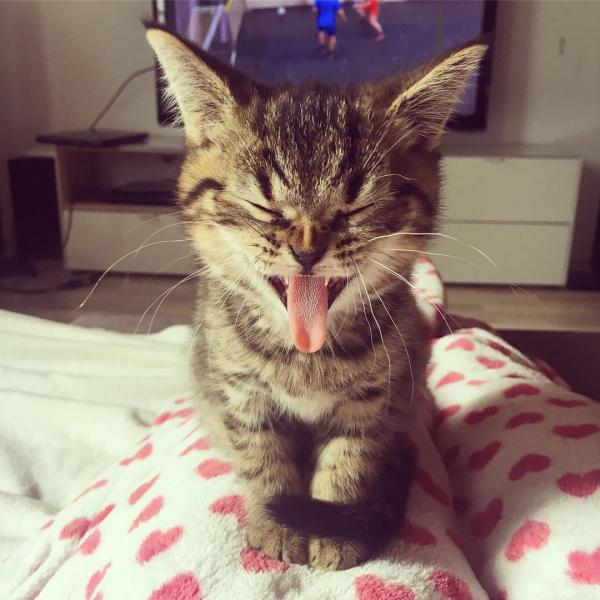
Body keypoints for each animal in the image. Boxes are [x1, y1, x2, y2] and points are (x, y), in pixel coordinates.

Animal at [146, 25, 485, 571]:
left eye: (356, 206)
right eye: (263, 205)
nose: (307, 251)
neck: (306, 356)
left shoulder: (376, 400)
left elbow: (350, 461)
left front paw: (334, 529)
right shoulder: (239, 393)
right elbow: (261, 457)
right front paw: (276, 522)